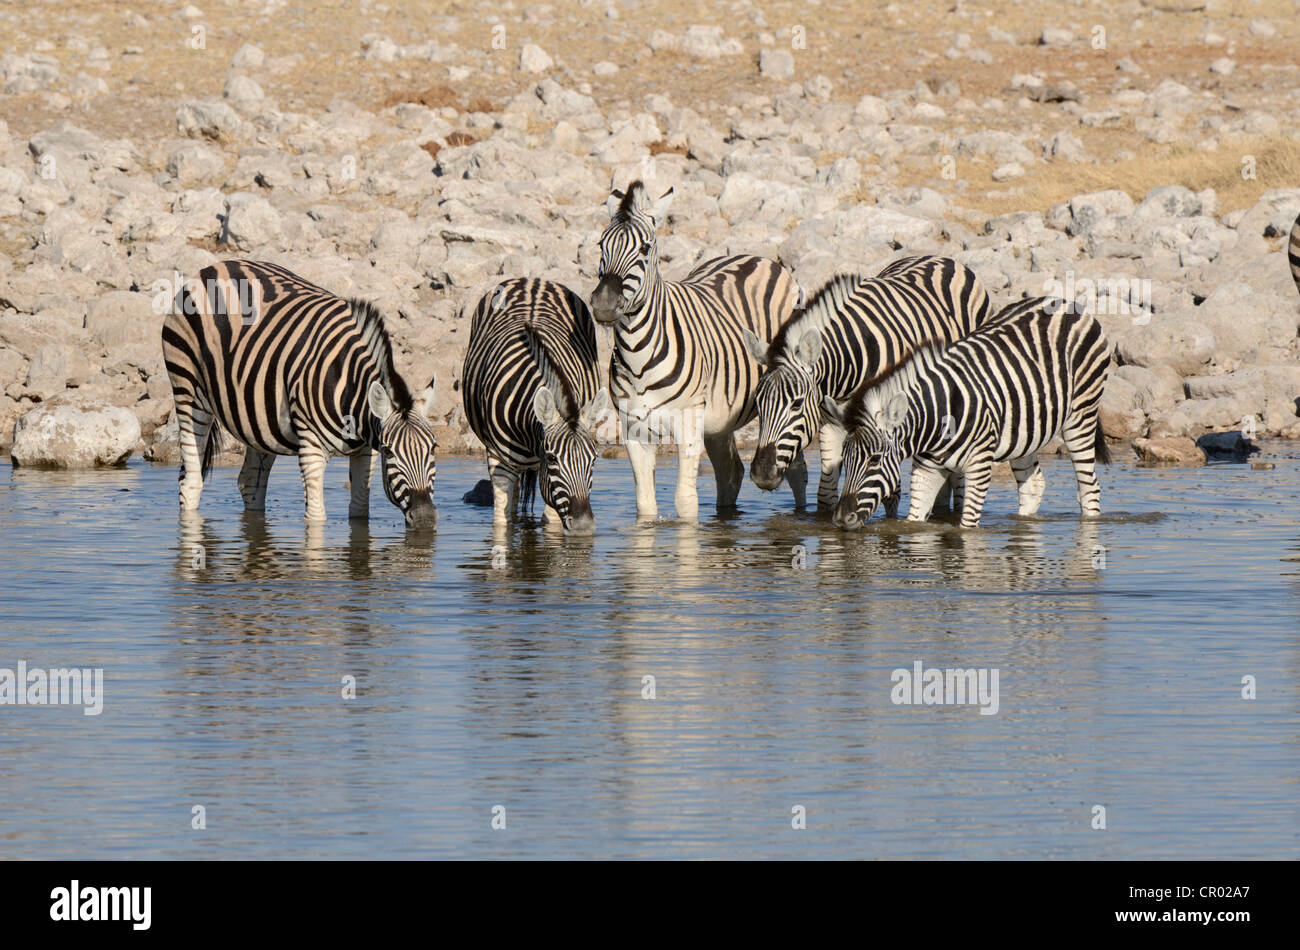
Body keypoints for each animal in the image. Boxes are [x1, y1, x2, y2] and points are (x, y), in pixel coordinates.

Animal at [160, 259, 436, 527]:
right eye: (390, 451)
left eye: (434, 448)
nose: (425, 518)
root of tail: (210, 269)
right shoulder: (312, 447)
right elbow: (316, 516)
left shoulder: (366, 450)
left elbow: (359, 510)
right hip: (188, 392)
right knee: (190, 481)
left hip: (259, 419)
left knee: (250, 482)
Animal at [465, 276, 611, 535]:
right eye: (552, 459)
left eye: (594, 460)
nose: (583, 526)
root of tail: (532, 280)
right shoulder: (500, 462)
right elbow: (501, 522)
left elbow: (551, 523)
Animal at [590, 178, 800, 519]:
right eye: (600, 245)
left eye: (645, 248)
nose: (605, 304)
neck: (638, 359)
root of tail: (760, 258)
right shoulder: (634, 431)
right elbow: (645, 505)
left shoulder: (688, 425)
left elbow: (685, 502)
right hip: (719, 420)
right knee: (731, 472)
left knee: (797, 473)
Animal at [743, 256, 993, 517]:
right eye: (757, 403)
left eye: (797, 404)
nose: (761, 475)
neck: (847, 365)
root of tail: (942, 258)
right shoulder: (830, 421)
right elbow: (826, 492)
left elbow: (891, 494)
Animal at [826, 297, 1112, 530]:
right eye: (844, 458)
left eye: (875, 460)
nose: (841, 519)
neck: (937, 418)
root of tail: (1066, 303)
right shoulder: (927, 470)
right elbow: (915, 522)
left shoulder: (979, 465)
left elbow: (967, 530)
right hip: (1025, 431)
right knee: (1033, 485)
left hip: (1081, 415)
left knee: (1089, 488)